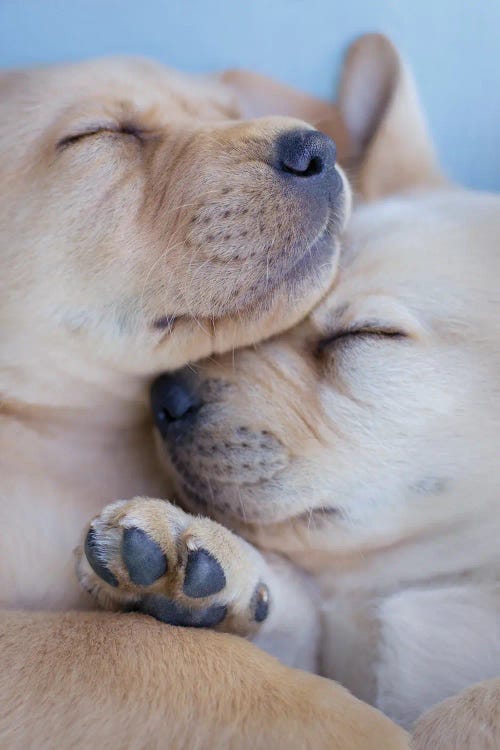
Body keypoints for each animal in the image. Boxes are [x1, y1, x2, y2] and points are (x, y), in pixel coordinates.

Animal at [81, 33, 500, 748]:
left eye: (366, 335)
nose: (162, 397)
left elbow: (473, 703)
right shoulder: (345, 659)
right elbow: (298, 631)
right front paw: (209, 570)